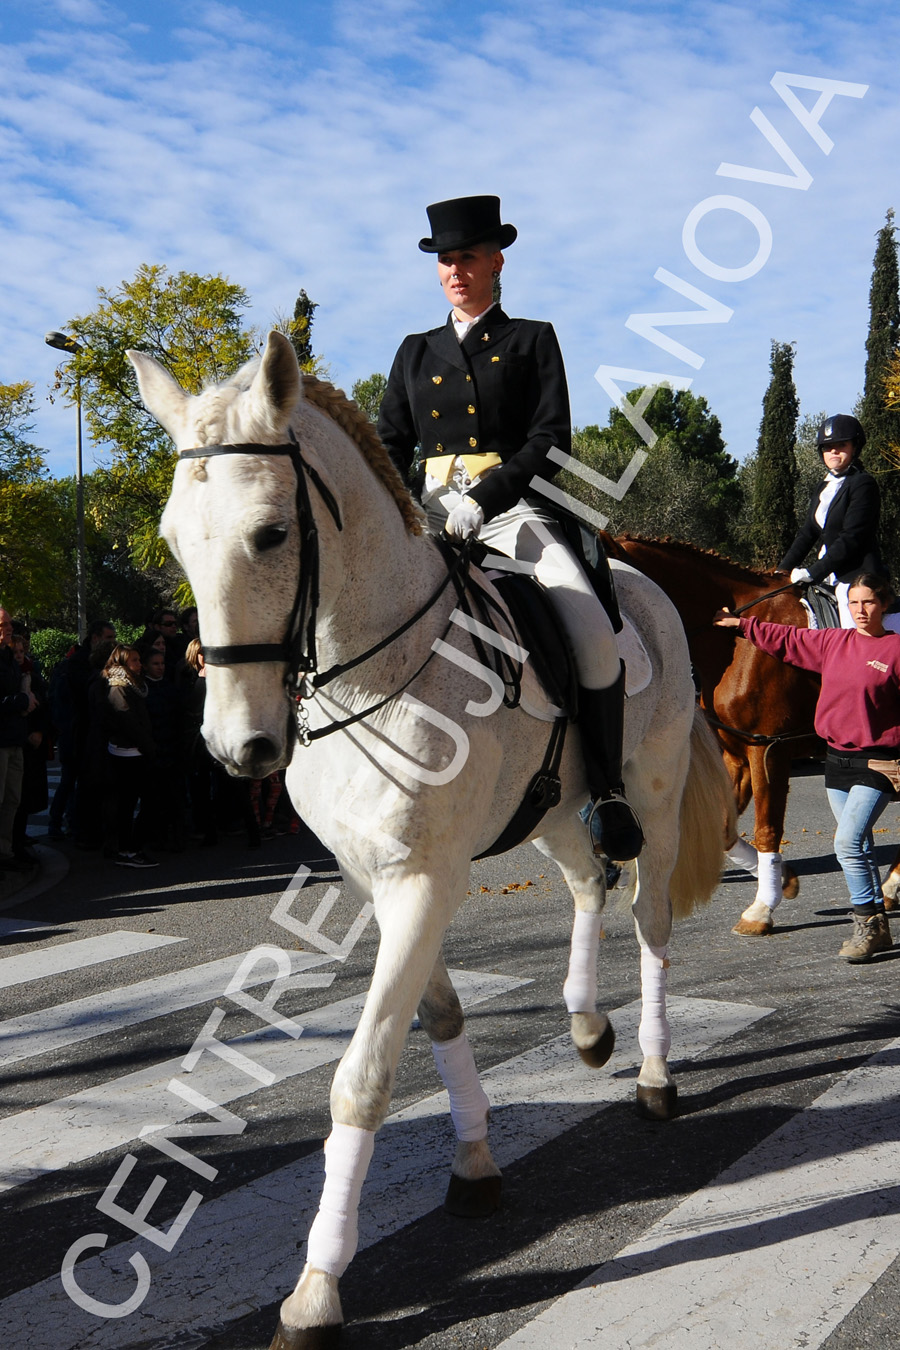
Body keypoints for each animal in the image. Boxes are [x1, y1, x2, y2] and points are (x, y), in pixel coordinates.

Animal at [135, 329, 739, 1350]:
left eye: (271, 534)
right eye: (177, 541)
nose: (234, 746)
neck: (372, 668)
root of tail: (653, 586)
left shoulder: (424, 880)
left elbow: (363, 1077)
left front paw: (316, 1289)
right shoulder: (378, 878)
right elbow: (442, 1020)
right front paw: (476, 1164)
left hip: (651, 802)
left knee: (651, 922)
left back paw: (655, 1072)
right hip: (550, 812)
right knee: (587, 886)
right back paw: (586, 1026)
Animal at [604, 531, 825, 934]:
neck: (734, 636)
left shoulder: (768, 751)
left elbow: (767, 829)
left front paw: (760, 910)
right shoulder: (736, 754)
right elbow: (722, 830)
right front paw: (785, 880)